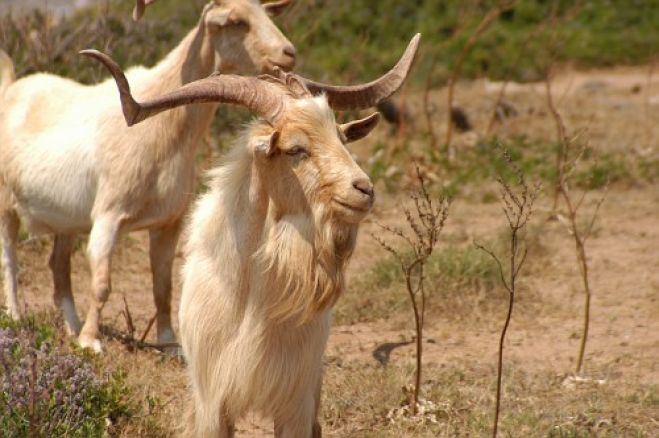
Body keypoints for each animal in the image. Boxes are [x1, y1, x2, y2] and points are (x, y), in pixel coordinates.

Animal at [0, 0, 296, 350]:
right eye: (237, 21)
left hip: (67, 221)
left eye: (267, 13)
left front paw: (168, 342)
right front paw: (91, 341)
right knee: (10, 258)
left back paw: (71, 326)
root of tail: (11, 87)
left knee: (58, 265)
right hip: (6, 203)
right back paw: (17, 317)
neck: (162, 129)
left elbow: (163, 286)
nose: (288, 53)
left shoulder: (169, 222)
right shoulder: (108, 216)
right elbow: (102, 284)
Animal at [87, 32, 420, 436]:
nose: (364, 190)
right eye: (295, 148)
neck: (248, 296)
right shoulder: (213, 400)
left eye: (341, 138)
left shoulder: (295, 401)